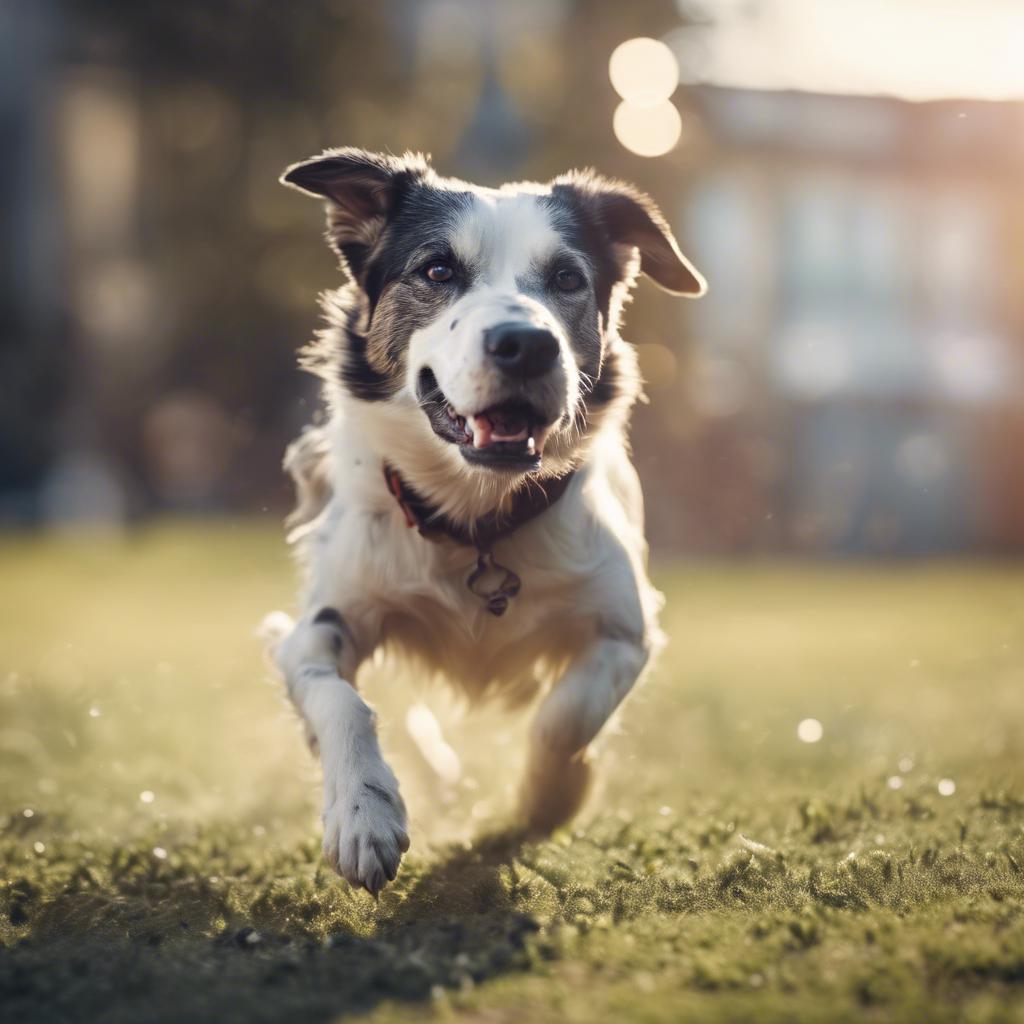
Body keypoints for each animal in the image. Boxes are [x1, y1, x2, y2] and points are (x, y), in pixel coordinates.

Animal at [266, 148, 704, 892]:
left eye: (567, 278)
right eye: (438, 271)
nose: (526, 344)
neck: (476, 519)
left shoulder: (627, 630)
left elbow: (563, 718)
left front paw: (552, 794)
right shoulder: (321, 624)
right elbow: (340, 700)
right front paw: (363, 814)